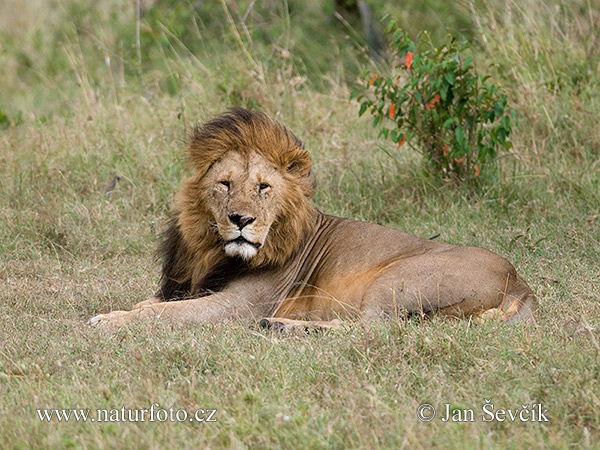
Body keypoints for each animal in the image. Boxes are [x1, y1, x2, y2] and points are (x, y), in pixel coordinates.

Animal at [89, 108, 540, 330]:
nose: (240, 219)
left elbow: (162, 314)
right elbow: (152, 303)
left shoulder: (236, 306)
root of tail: (520, 283)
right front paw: (121, 310)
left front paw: (109, 321)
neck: (212, 251)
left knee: (377, 330)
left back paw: (283, 326)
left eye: (263, 187)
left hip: (396, 281)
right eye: (224, 184)